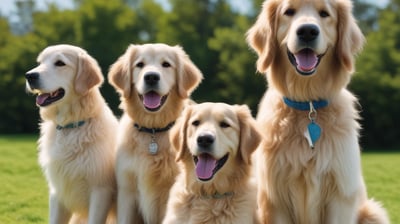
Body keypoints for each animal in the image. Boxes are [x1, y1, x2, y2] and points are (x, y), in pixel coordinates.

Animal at [25, 44, 117, 224]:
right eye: (40, 63)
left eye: (60, 63)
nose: (29, 76)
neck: (70, 127)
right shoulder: (58, 192)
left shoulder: (101, 191)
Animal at [247, 0, 390, 224]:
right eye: (289, 12)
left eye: (324, 14)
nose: (307, 31)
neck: (309, 105)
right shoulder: (275, 200)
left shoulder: (339, 196)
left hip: (371, 212)